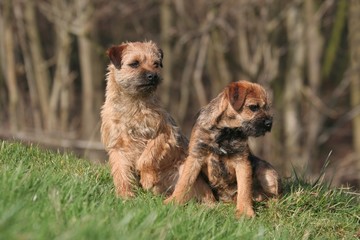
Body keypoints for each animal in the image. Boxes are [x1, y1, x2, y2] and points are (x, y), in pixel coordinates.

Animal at [100, 40, 215, 202]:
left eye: (155, 64)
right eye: (134, 64)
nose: (152, 76)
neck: (133, 104)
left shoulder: (164, 134)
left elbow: (148, 156)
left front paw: (147, 178)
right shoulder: (117, 147)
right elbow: (121, 173)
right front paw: (125, 196)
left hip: (184, 170)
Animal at [165, 80, 282, 218]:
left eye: (267, 107)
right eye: (253, 107)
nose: (269, 124)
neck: (225, 131)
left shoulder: (242, 161)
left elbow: (244, 189)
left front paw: (245, 212)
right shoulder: (195, 156)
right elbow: (184, 182)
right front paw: (173, 201)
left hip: (267, 172)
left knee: (274, 196)